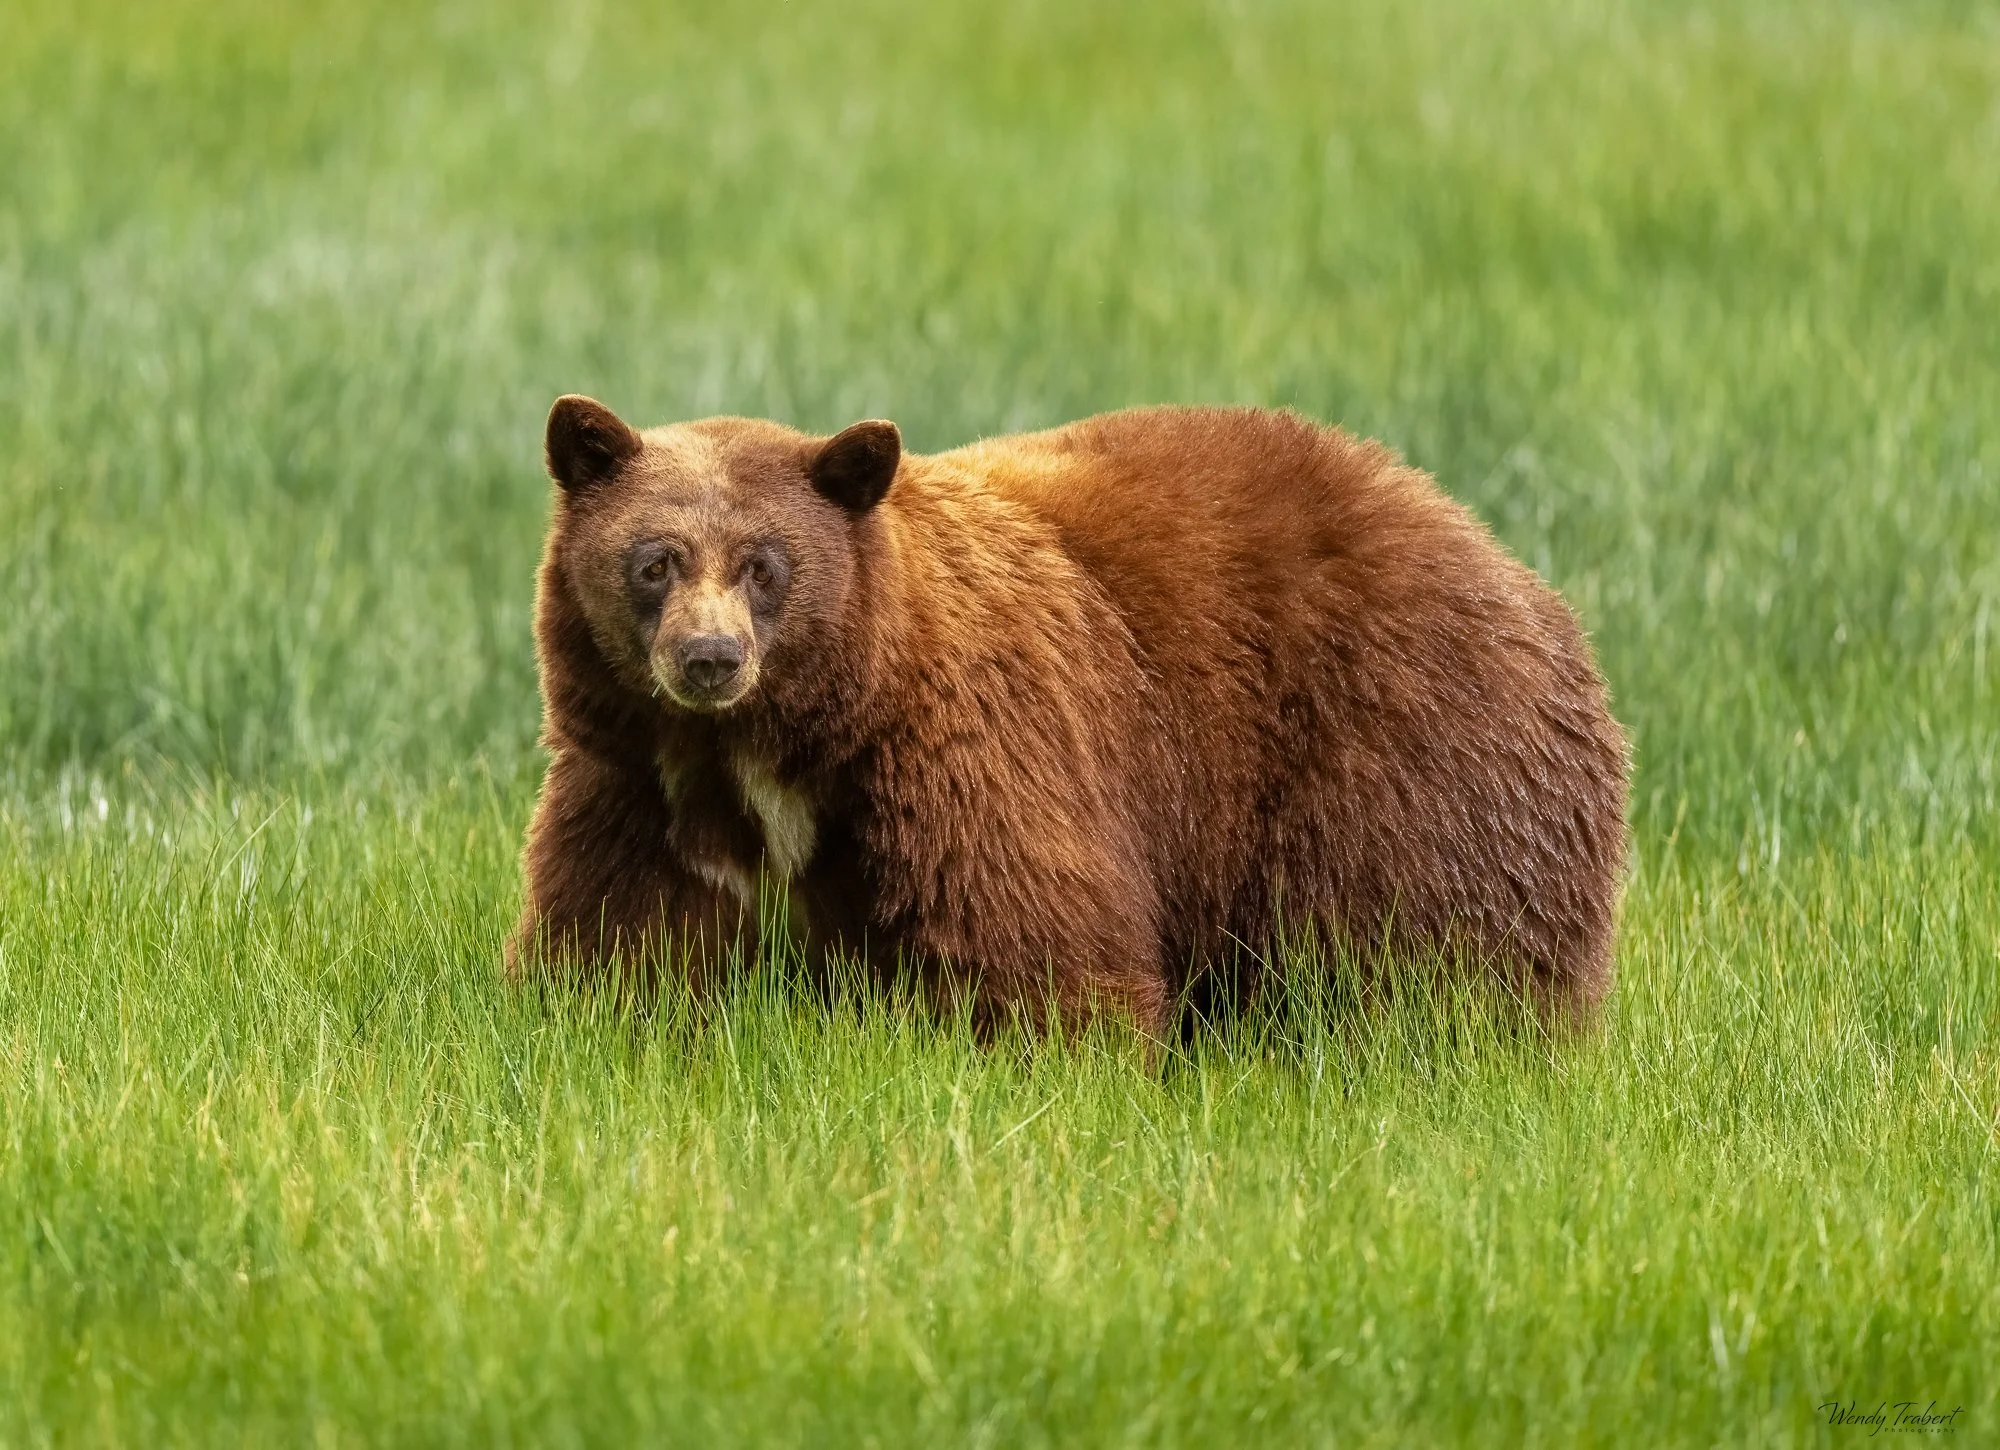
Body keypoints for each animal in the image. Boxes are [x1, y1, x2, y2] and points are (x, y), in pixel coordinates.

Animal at [509, 396, 1630, 1039]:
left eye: (764, 565)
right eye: (654, 561)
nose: (710, 658)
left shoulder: (974, 744)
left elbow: (1035, 935)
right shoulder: (642, 782)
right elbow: (617, 932)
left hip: (1406, 744)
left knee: (1423, 951)